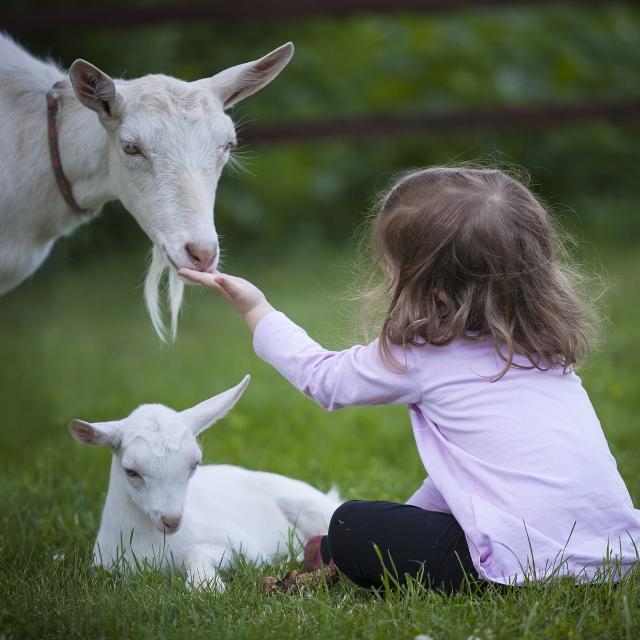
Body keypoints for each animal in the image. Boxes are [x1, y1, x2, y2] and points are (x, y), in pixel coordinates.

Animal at [69, 376, 340, 592]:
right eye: (131, 471)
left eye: (194, 464)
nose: (172, 520)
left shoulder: (246, 547)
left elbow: (196, 551)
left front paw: (205, 586)